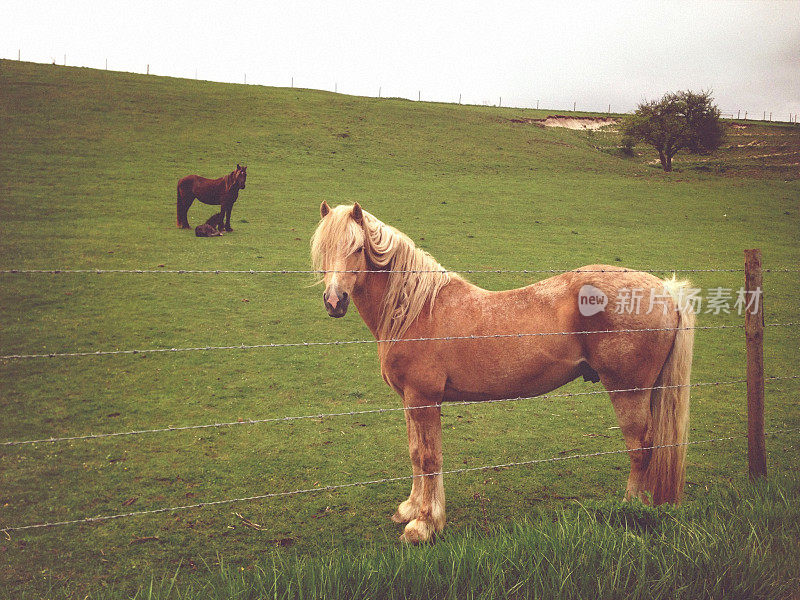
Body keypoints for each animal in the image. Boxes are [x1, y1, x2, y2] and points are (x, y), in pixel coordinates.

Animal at [310, 202, 692, 544]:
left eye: (358, 248)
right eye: (323, 250)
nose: (334, 301)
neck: (416, 310)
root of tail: (666, 292)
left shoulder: (424, 399)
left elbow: (430, 458)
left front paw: (424, 526)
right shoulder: (411, 401)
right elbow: (416, 453)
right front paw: (410, 509)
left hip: (628, 391)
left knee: (641, 449)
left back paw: (630, 508)